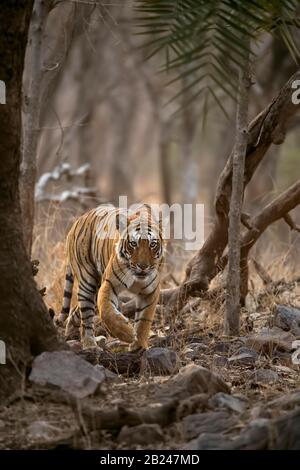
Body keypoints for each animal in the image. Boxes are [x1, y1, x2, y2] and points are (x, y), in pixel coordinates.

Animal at [56, 204, 164, 350]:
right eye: (133, 244)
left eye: (152, 244)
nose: (143, 266)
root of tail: (77, 221)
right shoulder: (109, 283)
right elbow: (106, 311)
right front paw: (127, 334)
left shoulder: (150, 291)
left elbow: (144, 320)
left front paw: (139, 346)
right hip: (87, 281)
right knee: (86, 316)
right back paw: (90, 344)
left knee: (75, 311)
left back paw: (71, 332)